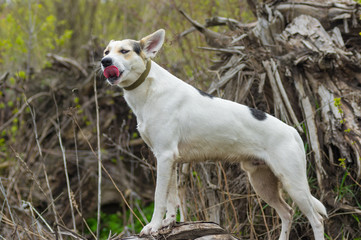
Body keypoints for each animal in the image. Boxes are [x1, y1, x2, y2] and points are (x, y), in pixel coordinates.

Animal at [100, 30, 326, 240]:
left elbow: (159, 198)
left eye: (124, 51)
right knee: (287, 213)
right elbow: (172, 199)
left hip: (293, 183)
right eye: (106, 52)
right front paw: (169, 223)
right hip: (262, 182)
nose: (105, 62)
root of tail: (293, 131)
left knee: (317, 220)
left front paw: (153, 226)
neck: (149, 89)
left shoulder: (164, 157)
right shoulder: (169, 160)